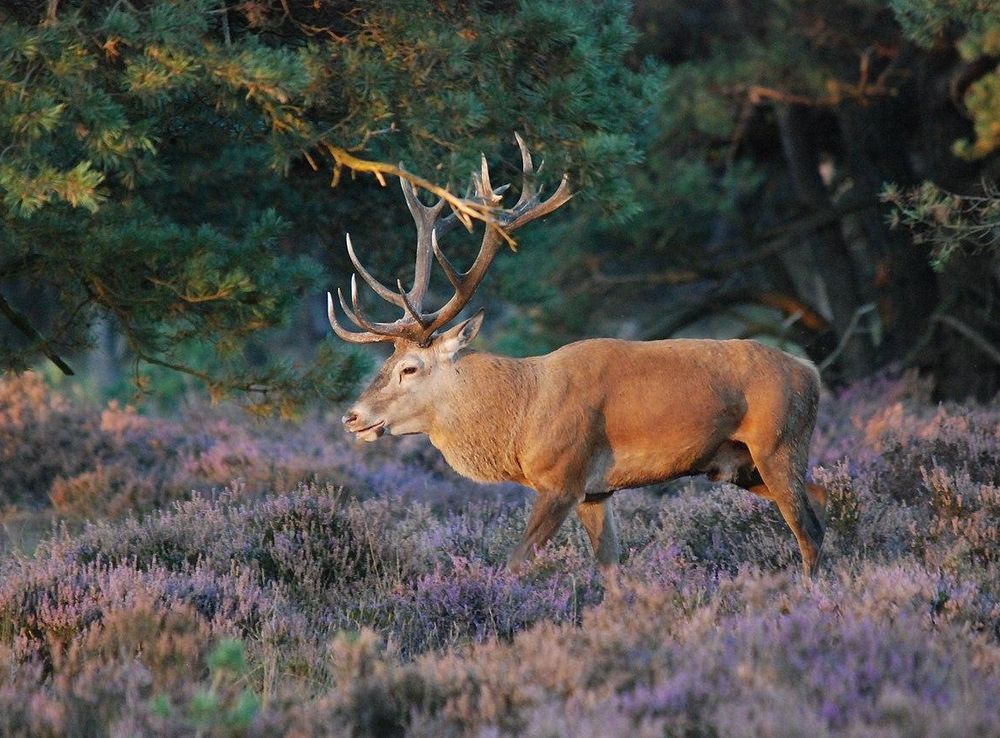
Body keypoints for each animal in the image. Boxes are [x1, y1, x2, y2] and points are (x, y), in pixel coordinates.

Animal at [328, 135, 827, 577]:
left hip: (777, 443)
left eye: (409, 368)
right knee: (823, 501)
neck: (521, 416)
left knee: (810, 530)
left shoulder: (563, 478)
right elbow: (609, 569)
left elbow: (515, 563)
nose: (351, 417)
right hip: (743, 466)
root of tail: (811, 372)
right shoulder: (595, 492)